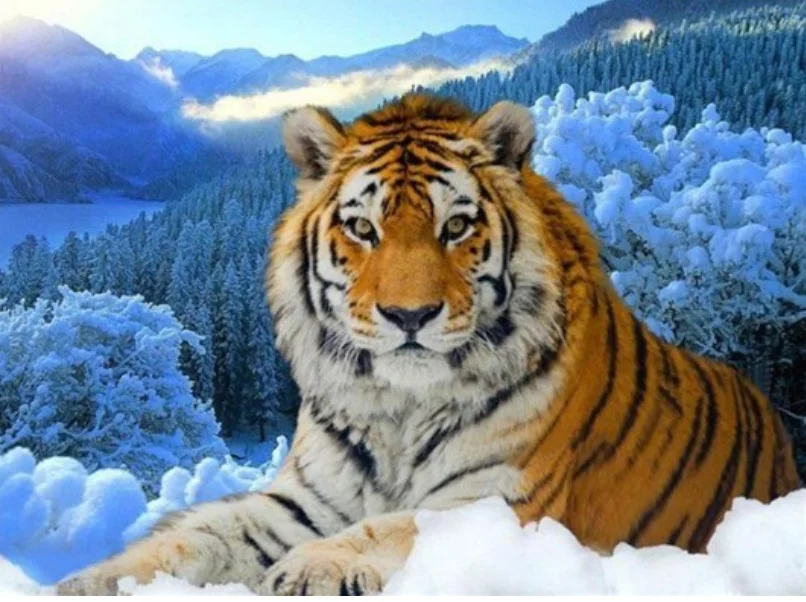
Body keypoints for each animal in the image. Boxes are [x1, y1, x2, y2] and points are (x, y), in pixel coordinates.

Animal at [57, 93, 802, 596]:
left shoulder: (502, 502)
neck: (399, 408)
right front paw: (89, 581)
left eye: (457, 227)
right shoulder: (303, 502)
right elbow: (196, 535)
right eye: (362, 228)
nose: (408, 315)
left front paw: (312, 567)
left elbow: (398, 525)